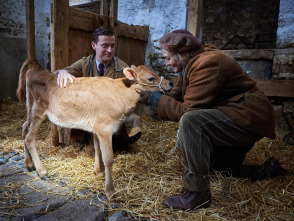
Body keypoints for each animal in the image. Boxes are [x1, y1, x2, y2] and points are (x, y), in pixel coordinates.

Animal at [16, 58, 172, 197]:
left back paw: (29, 164)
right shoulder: (104, 128)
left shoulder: (97, 127)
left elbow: (97, 148)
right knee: (29, 137)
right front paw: (109, 190)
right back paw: (42, 171)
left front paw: (98, 171)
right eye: (151, 78)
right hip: (39, 110)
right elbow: (108, 158)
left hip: (30, 107)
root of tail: (37, 69)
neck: (121, 93)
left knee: (24, 128)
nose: (169, 82)